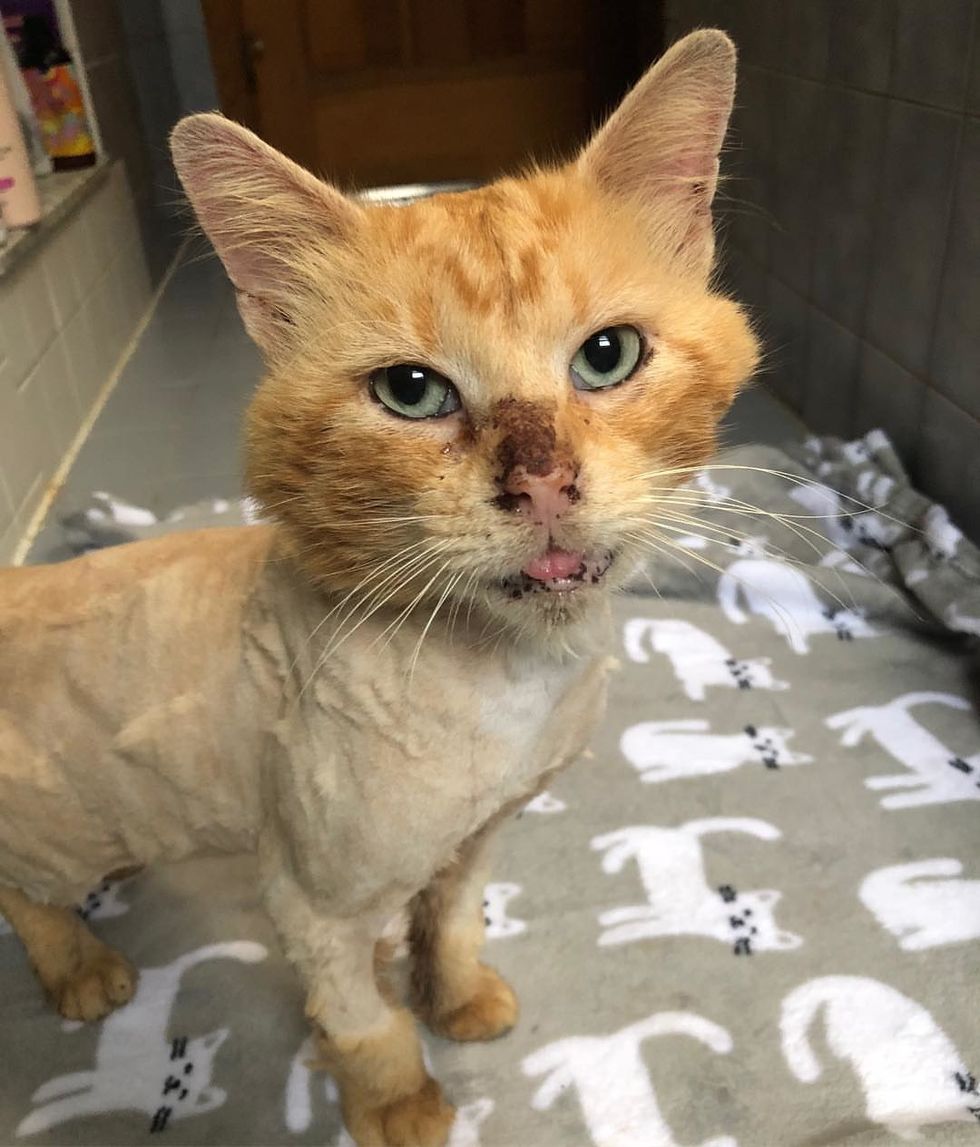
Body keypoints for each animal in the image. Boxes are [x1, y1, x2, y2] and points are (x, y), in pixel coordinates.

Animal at [0, 31, 761, 1142]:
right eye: (411, 392)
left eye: (606, 355)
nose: (540, 480)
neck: (511, 684)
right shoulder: (312, 901)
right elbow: (362, 1020)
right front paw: (401, 1103)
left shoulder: (479, 840)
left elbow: (449, 929)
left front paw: (460, 1001)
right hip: (58, 828)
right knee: (25, 895)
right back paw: (83, 971)